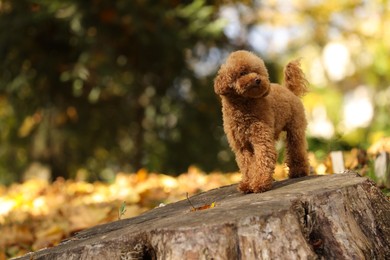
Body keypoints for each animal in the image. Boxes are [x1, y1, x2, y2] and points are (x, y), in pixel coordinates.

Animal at [215, 50, 310, 193]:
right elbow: (247, 166)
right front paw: (247, 185)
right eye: (242, 73)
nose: (258, 80)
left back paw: (299, 172)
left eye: (257, 72)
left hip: (295, 129)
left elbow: (263, 158)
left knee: (297, 148)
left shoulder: (261, 138)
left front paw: (260, 183)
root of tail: (289, 90)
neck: (244, 106)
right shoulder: (242, 146)